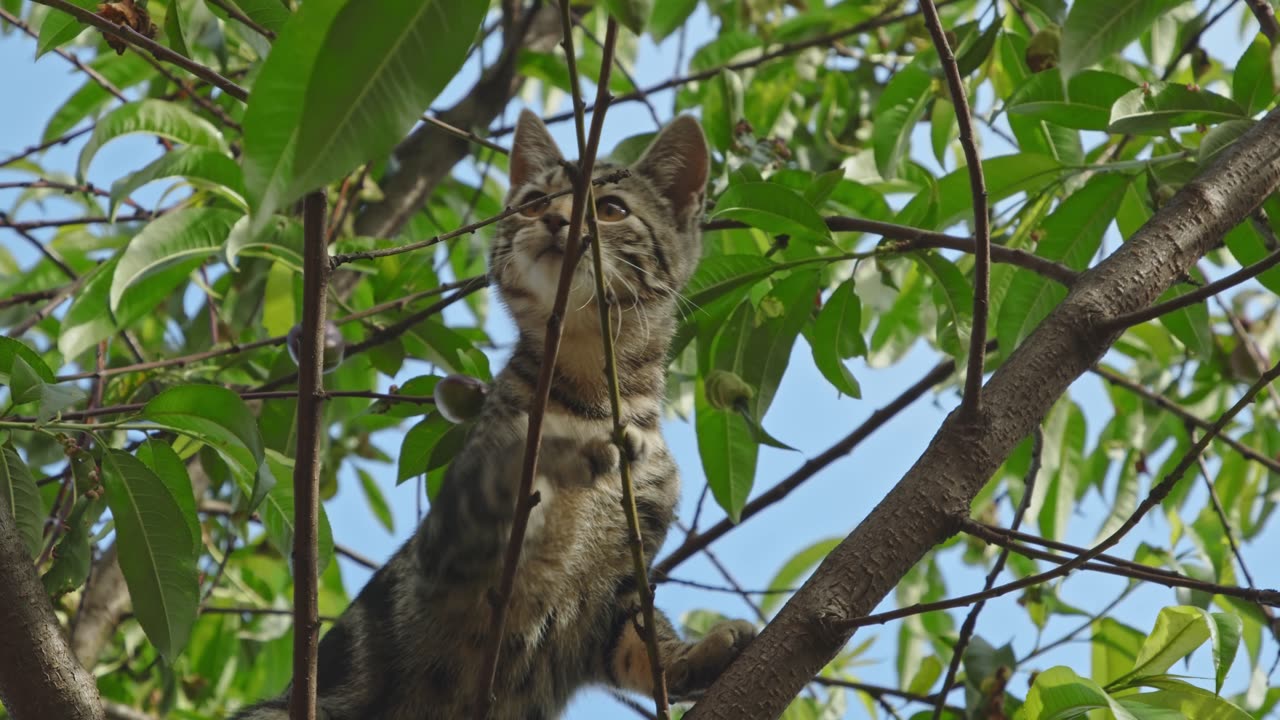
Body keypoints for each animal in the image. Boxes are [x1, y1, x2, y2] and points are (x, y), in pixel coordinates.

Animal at [231, 112, 752, 717]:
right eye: (534, 202)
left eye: (611, 209)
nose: (553, 218)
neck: (592, 394)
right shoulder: (445, 543)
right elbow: (505, 471)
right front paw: (575, 450)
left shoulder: (619, 592)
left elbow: (646, 644)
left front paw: (699, 653)